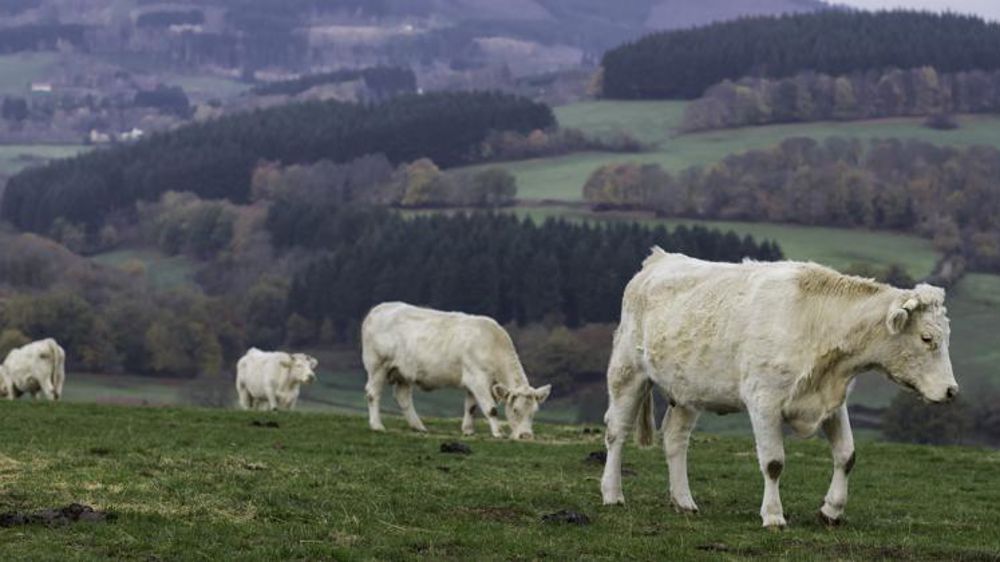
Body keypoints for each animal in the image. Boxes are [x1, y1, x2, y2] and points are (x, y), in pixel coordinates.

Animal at [361, 302, 551, 439]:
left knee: (403, 397)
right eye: (515, 410)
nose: (526, 436)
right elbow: (490, 408)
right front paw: (498, 432)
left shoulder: (473, 383)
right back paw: (377, 426)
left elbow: (471, 407)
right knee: (373, 393)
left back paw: (419, 426)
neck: (492, 344)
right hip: (378, 365)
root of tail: (377, 309)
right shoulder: (478, 379)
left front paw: (468, 430)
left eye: (534, 412)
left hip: (404, 372)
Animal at [600, 248, 957, 528]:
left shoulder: (832, 402)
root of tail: (658, 259)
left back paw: (684, 501)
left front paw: (831, 511)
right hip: (627, 371)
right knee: (617, 431)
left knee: (675, 438)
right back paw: (612, 494)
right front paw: (773, 516)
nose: (951, 391)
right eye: (927, 338)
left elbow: (847, 456)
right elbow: (773, 462)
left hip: (688, 390)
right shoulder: (764, 401)